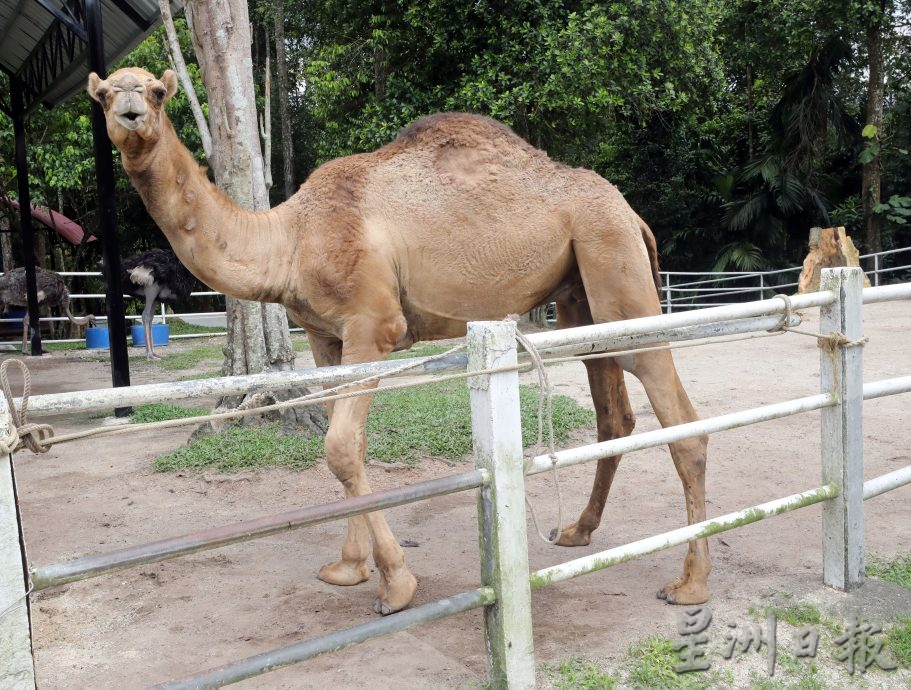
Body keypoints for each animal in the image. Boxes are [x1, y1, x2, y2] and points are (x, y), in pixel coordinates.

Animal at [89, 66, 708, 612]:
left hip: (613, 257)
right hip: (581, 296)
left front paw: (396, 584)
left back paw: (690, 584)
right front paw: (348, 566)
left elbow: (339, 447)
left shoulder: (373, 326)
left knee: (681, 418)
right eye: (105, 95)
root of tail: (633, 214)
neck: (291, 238)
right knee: (614, 414)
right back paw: (577, 531)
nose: (131, 112)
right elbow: (351, 446)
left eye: (156, 91)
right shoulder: (325, 338)